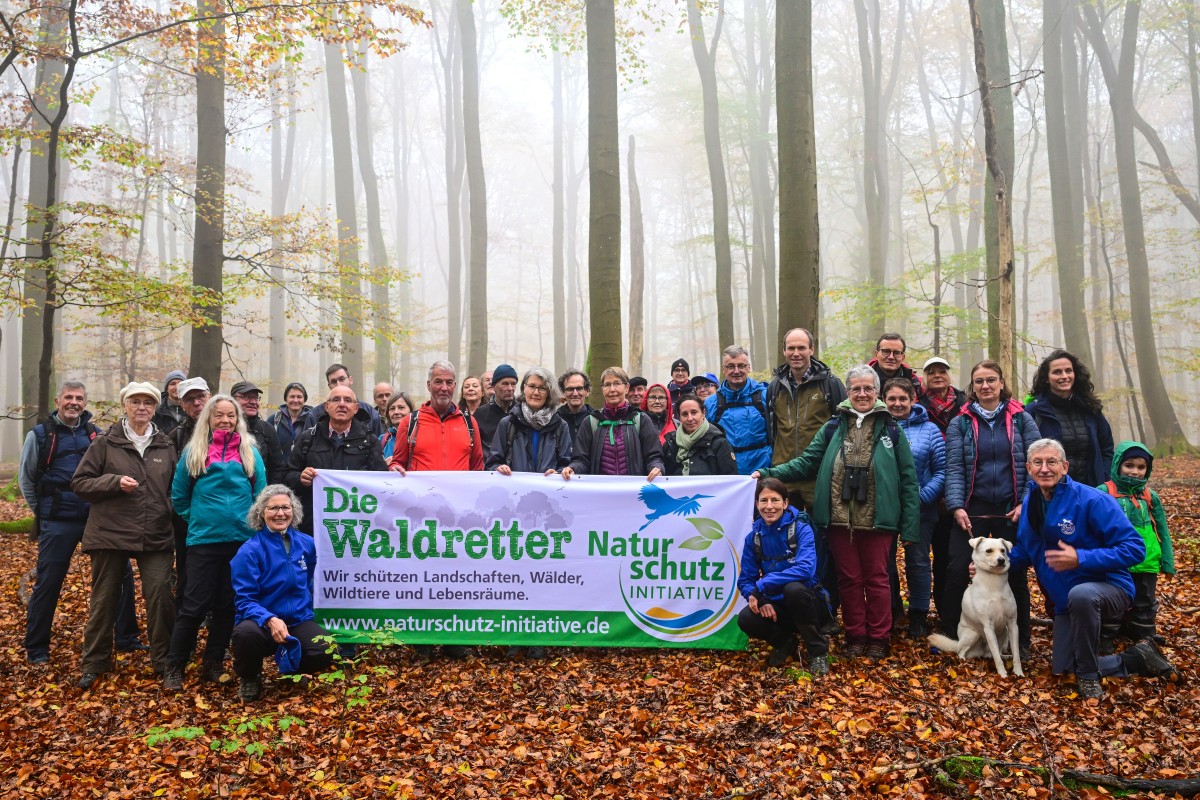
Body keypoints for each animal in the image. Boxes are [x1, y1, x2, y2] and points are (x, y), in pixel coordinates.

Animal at [926, 537, 1022, 676]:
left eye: (1003, 550)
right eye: (989, 551)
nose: (1001, 560)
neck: (995, 583)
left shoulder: (1012, 623)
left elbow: (1016, 654)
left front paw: (1019, 673)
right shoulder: (988, 626)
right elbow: (997, 658)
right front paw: (1003, 675)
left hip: (1004, 631)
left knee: (993, 653)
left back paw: (1004, 656)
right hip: (972, 635)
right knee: (962, 651)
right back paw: (963, 661)